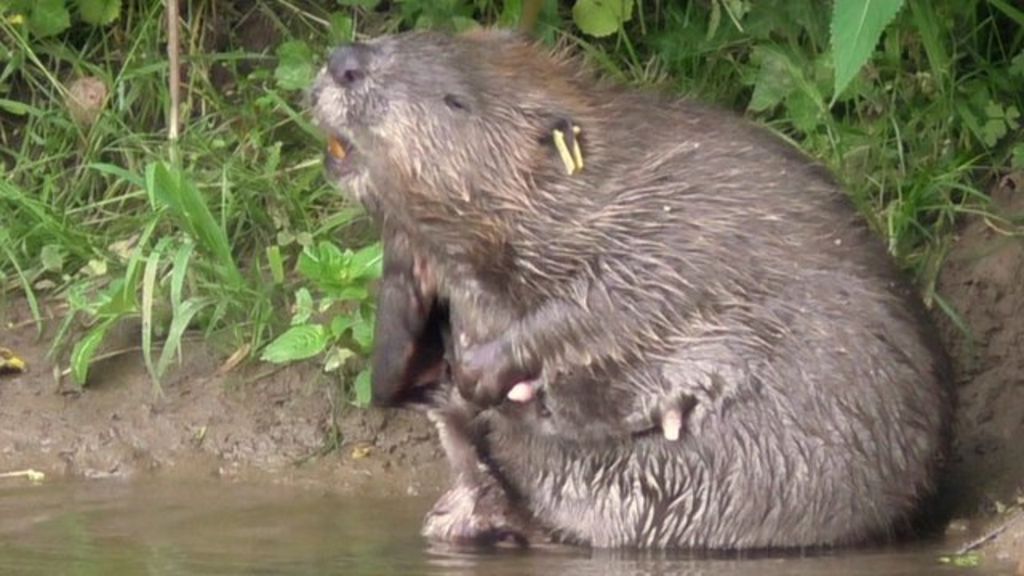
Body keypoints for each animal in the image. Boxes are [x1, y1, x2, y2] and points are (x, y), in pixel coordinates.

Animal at [309, 28, 950, 545]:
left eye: (455, 101)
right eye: (404, 36)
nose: (345, 62)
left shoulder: (671, 231)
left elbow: (603, 303)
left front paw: (480, 372)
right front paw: (406, 332)